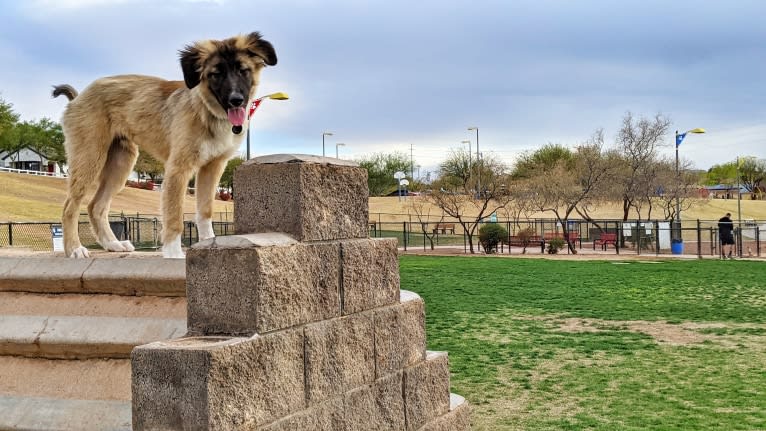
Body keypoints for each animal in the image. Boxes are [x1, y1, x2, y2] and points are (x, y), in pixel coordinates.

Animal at [54, 33, 278, 260]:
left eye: (243, 70)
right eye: (216, 74)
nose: (236, 100)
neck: (206, 110)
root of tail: (79, 97)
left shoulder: (213, 166)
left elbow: (205, 210)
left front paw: (209, 244)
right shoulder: (178, 168)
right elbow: (174, 214)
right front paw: (173, 252)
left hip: (120, 163)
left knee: (95, 206)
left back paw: (113, 244)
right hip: (90, 156)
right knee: (70, 207)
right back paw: (74, 248)